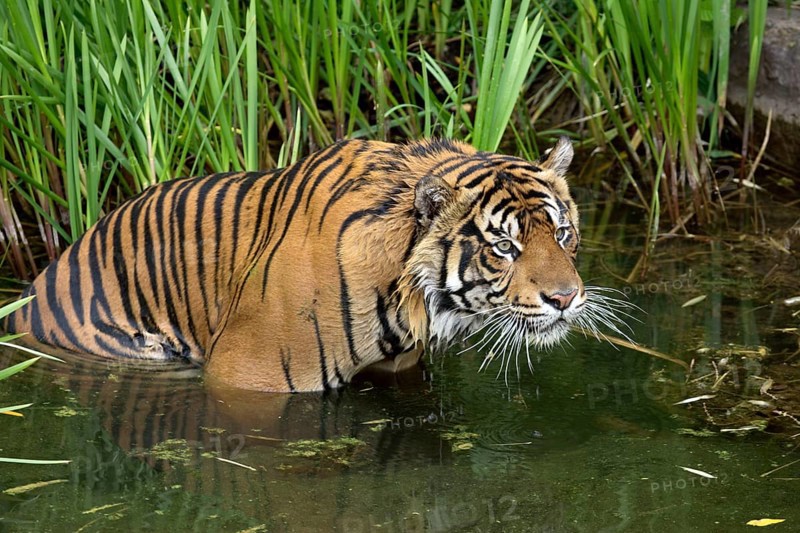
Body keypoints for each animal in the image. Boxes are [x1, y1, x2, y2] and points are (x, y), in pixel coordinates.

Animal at [4, 137, 611, 393]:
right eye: (504, 246)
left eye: (562, 234)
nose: (565, 299)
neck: (409, 298)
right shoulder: (249, 376)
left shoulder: (398, 367)